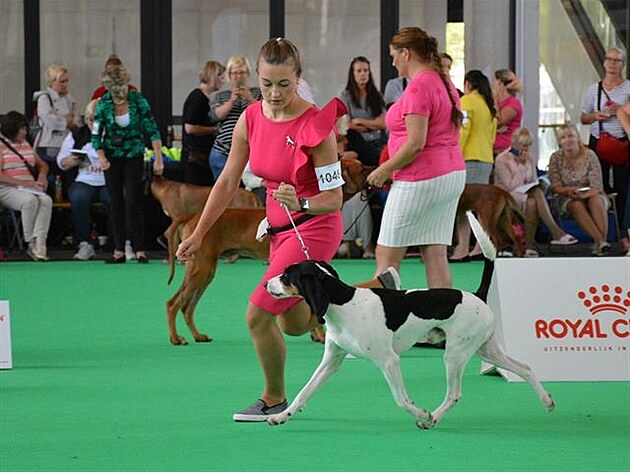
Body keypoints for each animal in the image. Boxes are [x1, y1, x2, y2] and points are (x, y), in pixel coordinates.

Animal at [268, 212, 556, 430]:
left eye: (286, 275)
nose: (266, 283)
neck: (345, 304)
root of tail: (476, 295)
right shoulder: (331, 362)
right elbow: (303, 392)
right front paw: (282, 415)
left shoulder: (389, 361)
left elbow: (401, 400)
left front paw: (423, 413)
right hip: (487, 350)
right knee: (525, 368)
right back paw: (547, 401)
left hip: (454, 355)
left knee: (454, 394)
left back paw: (433, 418)